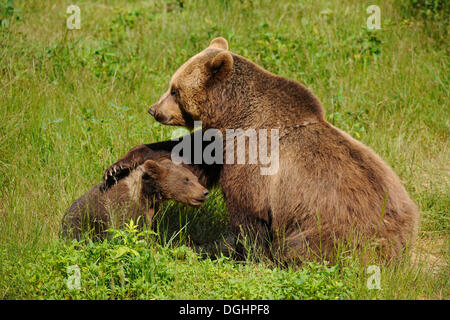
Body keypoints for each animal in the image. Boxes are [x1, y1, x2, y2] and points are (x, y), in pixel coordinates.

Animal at [104, 37, 418, 262]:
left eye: (174, 90)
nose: (153, 109)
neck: (234, 116)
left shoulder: (253, 155)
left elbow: (248, 212)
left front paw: (245, 254)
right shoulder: (222, 144)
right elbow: (188, 158)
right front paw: (119, 166)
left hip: (331, 228)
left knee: (303, 247)